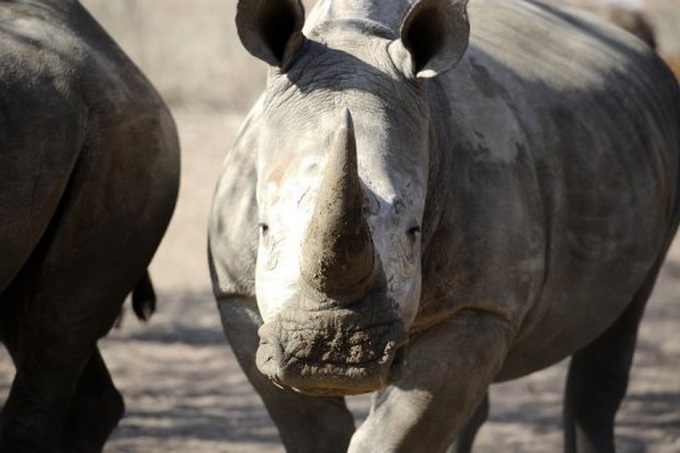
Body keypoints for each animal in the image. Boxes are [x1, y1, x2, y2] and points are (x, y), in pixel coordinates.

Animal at [208, 0, 680, 451]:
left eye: (413, 232)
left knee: (621, 321)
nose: (331, 356)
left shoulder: (480, 304)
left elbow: (398, 432)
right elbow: (312, 429)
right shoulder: (239, 296)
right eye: (264, 228)